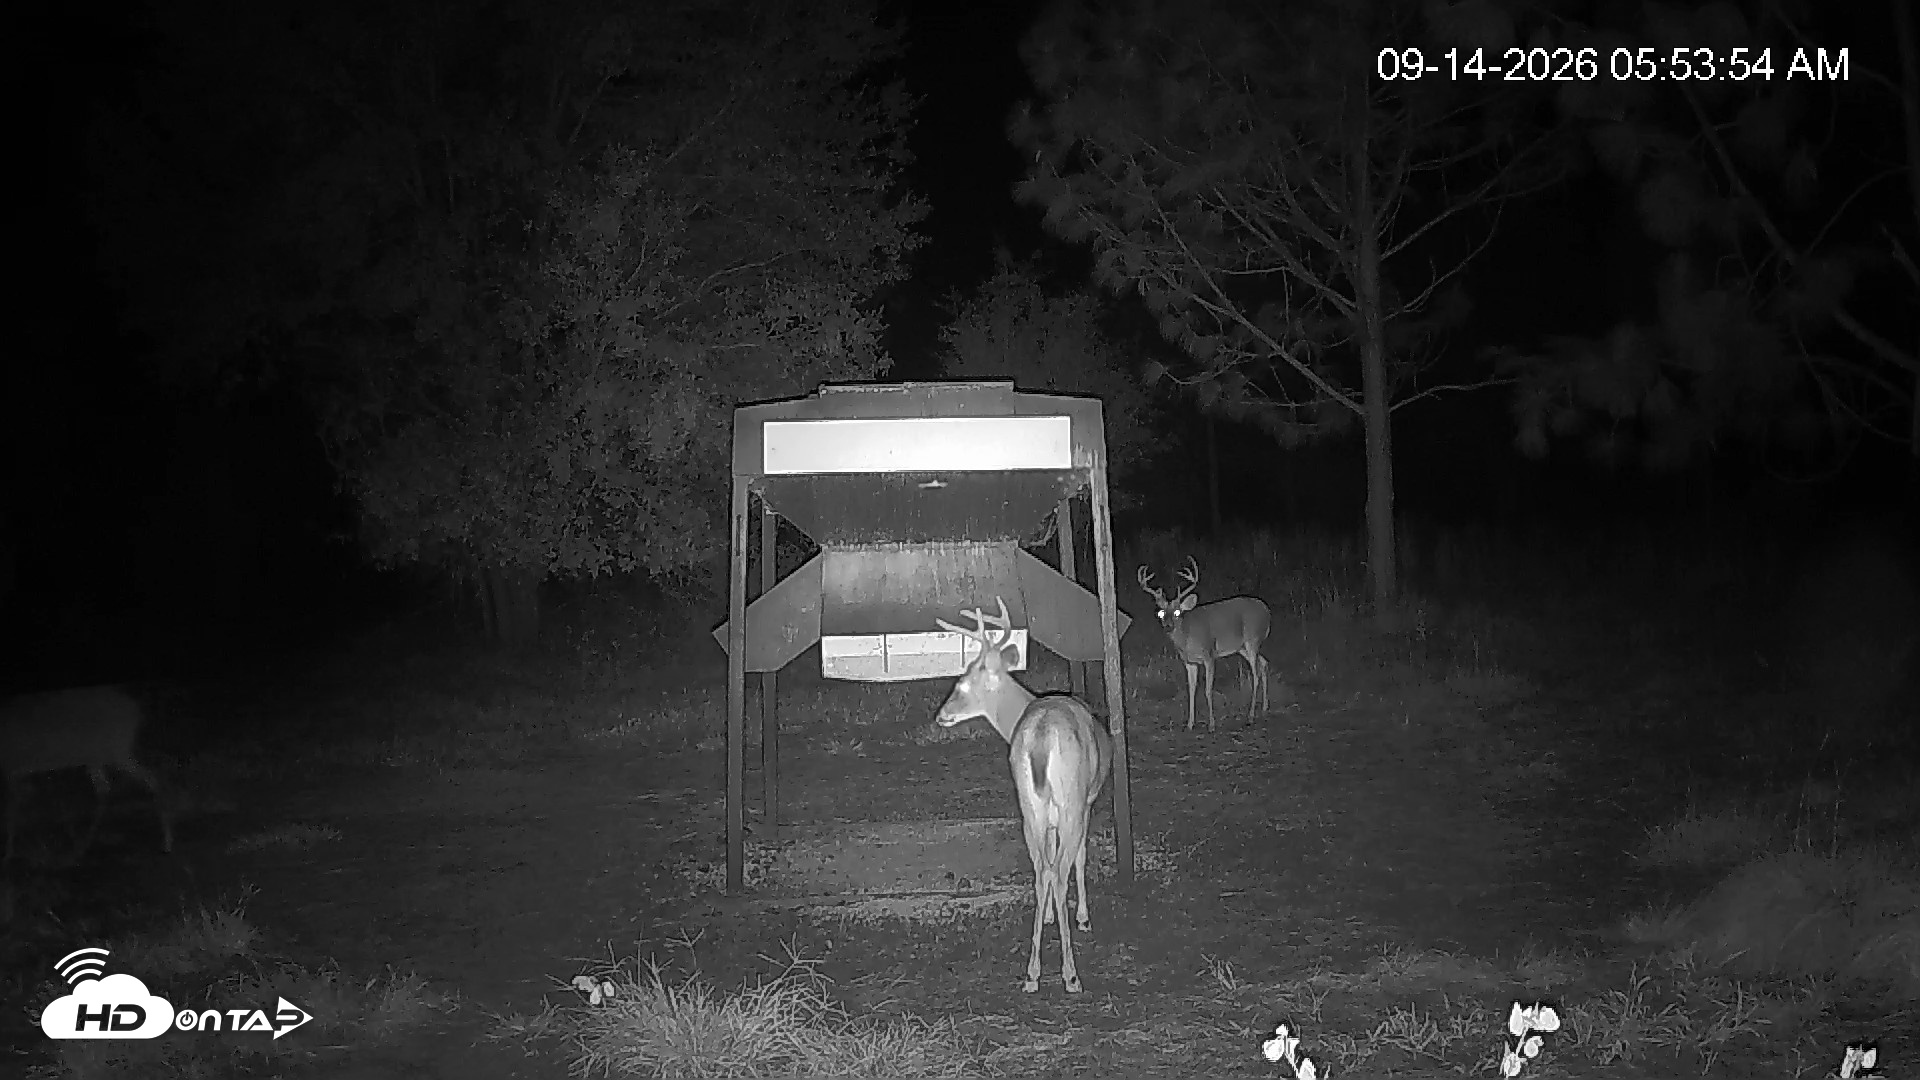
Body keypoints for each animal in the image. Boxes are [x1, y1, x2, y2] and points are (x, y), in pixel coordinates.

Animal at [0, 686, 174, 867]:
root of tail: (137, 711)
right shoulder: (16, 771)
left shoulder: (11, 767)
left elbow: (10, 812)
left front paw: (8, 853)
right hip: (99, 755)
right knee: (109, 787)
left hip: (114, 750)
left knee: (148, 778)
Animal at [933, 597, 1111, 994]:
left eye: (962, 684)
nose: (941, 715)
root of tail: (1042, 735)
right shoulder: (1086, 802)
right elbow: (1080, 857)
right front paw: (1083, 918)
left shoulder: (1049, 816)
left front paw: (1047, 919)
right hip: (1070, 798)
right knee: (1058, 871)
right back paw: (1069, 974)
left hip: (1029, 806)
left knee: (1041, 870)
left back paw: (1032, 973)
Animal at [1137, 557, 1272, 732]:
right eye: (1161, 613)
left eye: (1177, 612)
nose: (1167, 626)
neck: (1186, 639)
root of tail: (1267, 611)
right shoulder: (1189, 662)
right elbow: (1191, 690)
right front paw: (1189, 724)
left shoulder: (1209, 655)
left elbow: (1207, 690)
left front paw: (1212, 725)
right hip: (1242, 647)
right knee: (1264, 663)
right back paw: (1265, 707)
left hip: (1252, 639)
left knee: (1255, 674)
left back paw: (1250, 716)